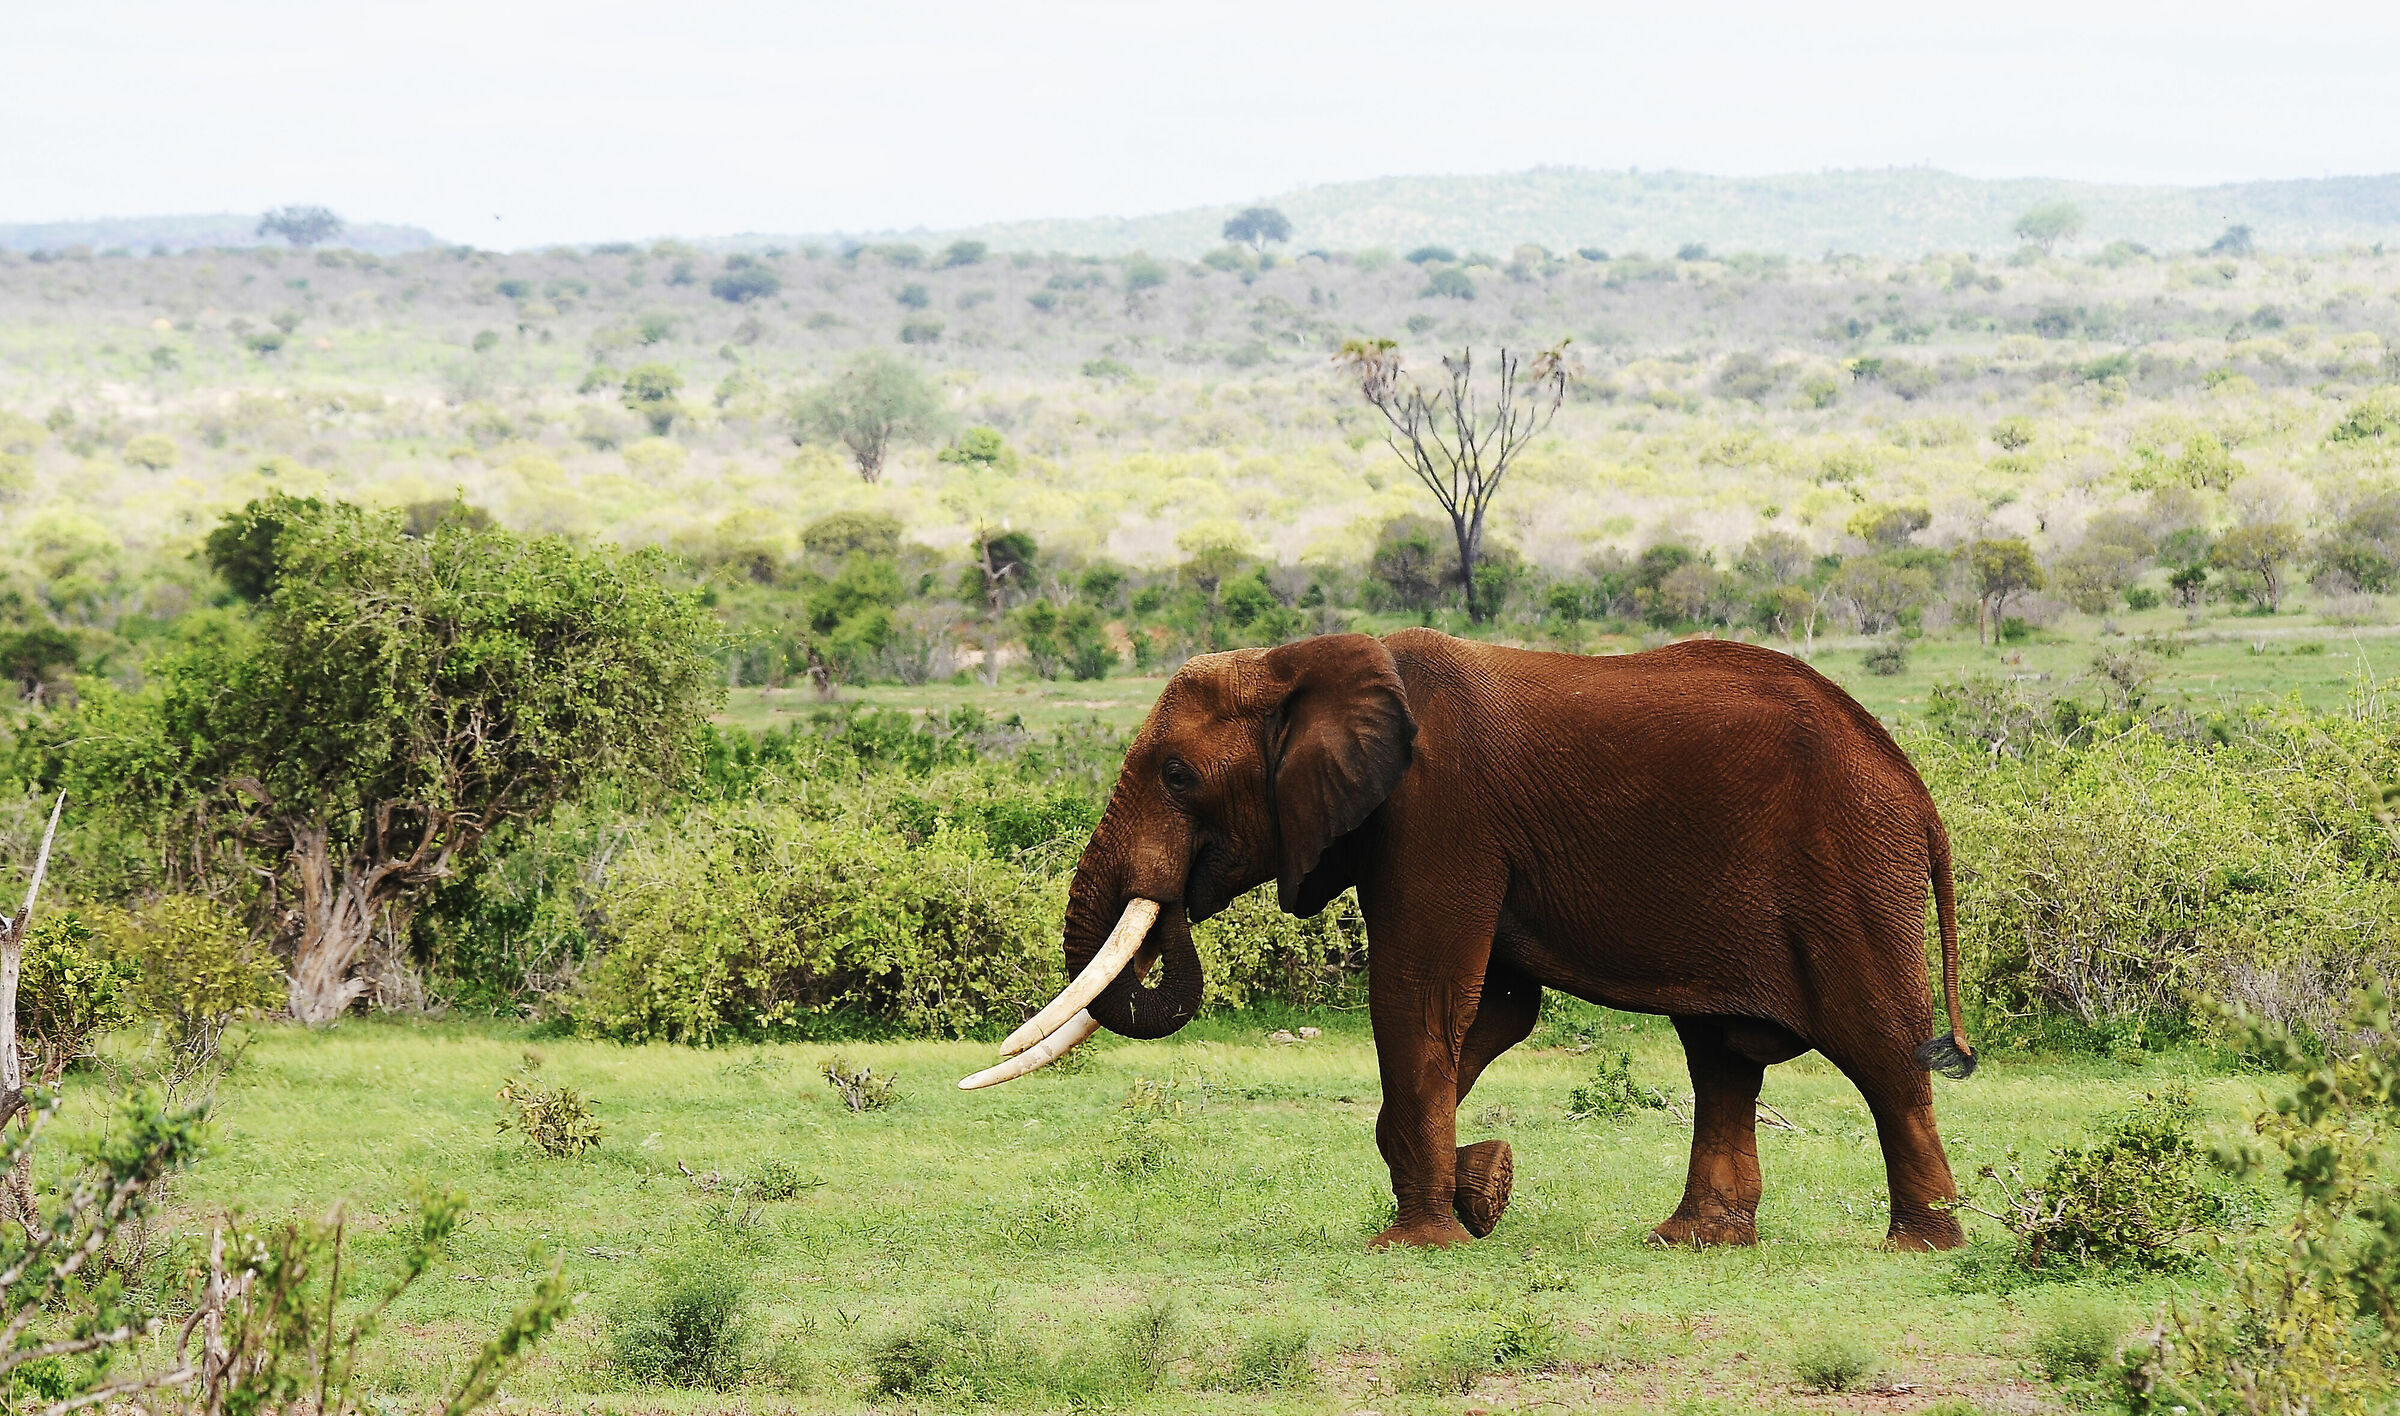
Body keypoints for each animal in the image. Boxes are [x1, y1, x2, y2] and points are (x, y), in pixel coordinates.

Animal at [962, 628, 1977, 1252]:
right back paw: (1690, 1240)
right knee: (1722, 1056)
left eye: (1178, 776)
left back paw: (1921, 1244)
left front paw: (1416, 1239)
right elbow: (1496, 1009)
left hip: (1852, 868)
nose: (1170, 898)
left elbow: (1421, 997)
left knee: (1879, 1049)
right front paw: (1482, 1189)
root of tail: (1918, 790)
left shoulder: (1437, 811)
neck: (1306, 661)